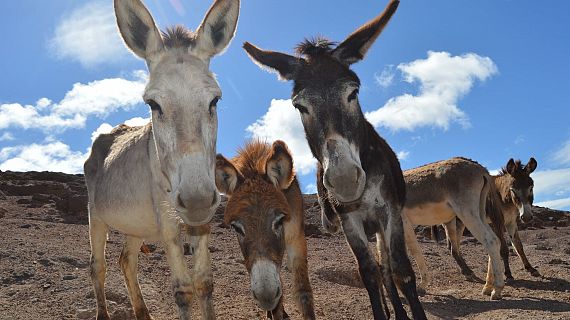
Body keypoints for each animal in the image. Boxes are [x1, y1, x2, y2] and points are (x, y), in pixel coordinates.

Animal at [214, 141, 312, 320]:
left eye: (279, 221)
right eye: (236, 227)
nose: (266, 296)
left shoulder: (296, 237)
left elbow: (303, 291)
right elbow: (277, 305)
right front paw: (275, 311)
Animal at [242, 1, 424, 318]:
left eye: (353, 92)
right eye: (300, 106)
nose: (344, 179)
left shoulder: (389, 211)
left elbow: (401, 271)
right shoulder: (349, 219)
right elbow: (368, 273)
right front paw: (381, 310)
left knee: (388, 266)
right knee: (379, 269)